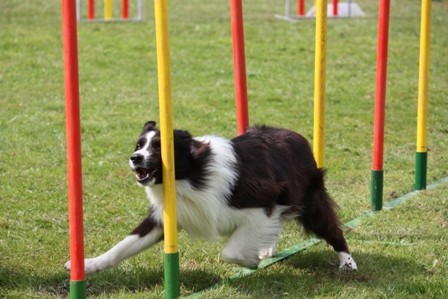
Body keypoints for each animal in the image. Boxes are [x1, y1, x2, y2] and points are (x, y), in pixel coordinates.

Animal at [65, 121, 356, 274]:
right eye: (139, 145)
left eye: (159, 148)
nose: (134, 158)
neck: (191, 175)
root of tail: (295, 135)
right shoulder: (166, 217)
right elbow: (123, 247)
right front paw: (87, 265)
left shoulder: (261, 204)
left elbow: (230, 251)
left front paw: (251, 261)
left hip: (310, 202)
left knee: (333, 230)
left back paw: (348, 263)